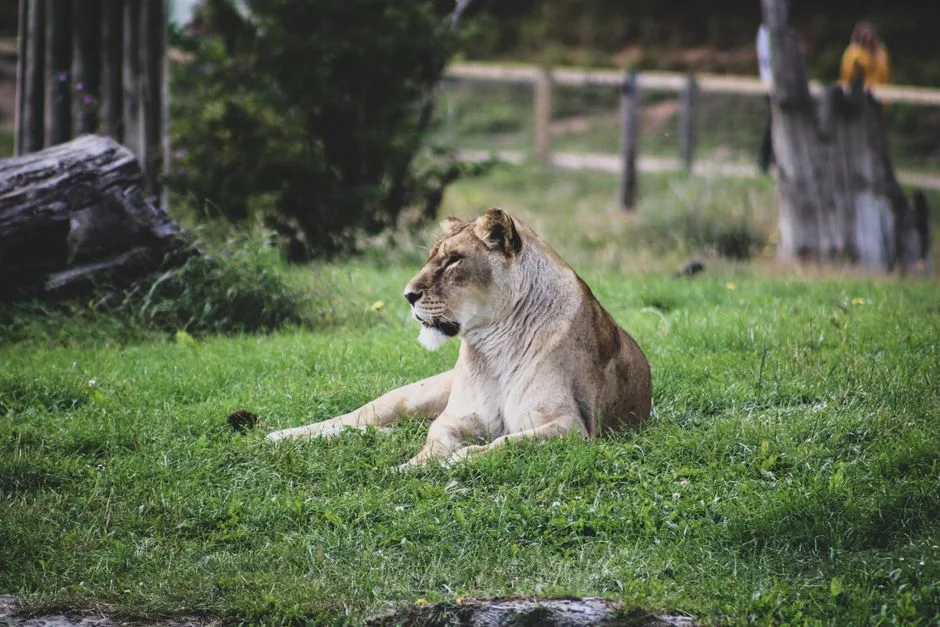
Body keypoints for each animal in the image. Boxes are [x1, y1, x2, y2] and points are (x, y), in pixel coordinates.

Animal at [267, 208, 652, 468]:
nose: (407, 295)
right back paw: (277, 436)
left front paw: (459, 459)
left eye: (453, 260)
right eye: (431, 257)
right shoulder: (455, 417)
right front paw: (413, 466)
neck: (495, 341)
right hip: (410, 397)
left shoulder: (569, 425)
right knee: (351, 418)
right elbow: (433, 443)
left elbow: (503, 444)